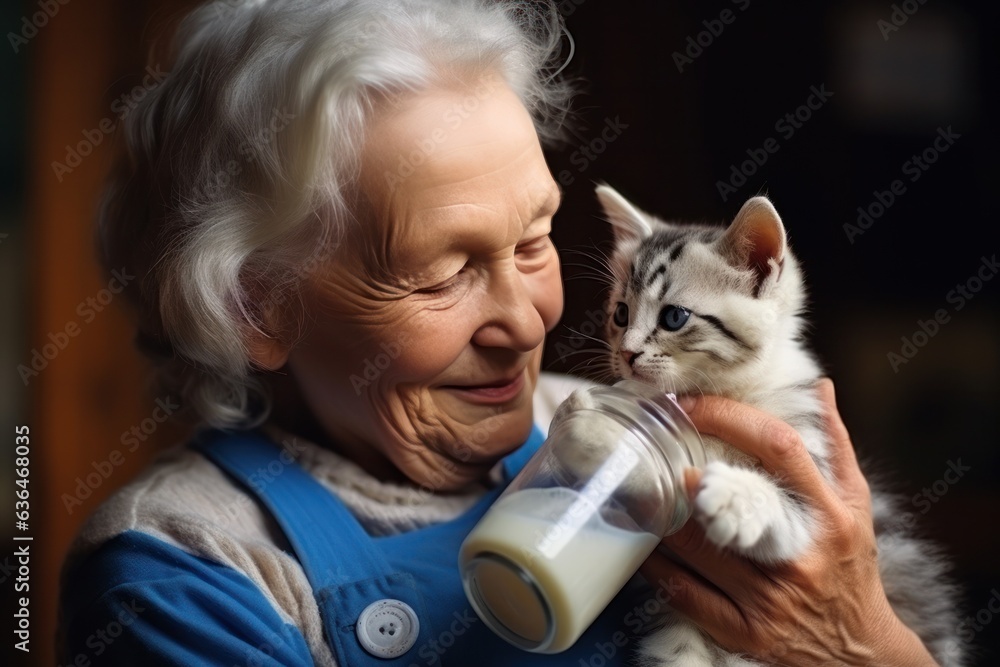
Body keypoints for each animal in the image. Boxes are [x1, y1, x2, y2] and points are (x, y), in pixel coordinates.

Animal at [588, 184, 964, 667]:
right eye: (620, 314)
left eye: (674, 317)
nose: (627, 353)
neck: (727, 392)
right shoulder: (670, 611)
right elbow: (677, 649)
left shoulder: (817, 497)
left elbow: (786, 511)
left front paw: (733, 494)